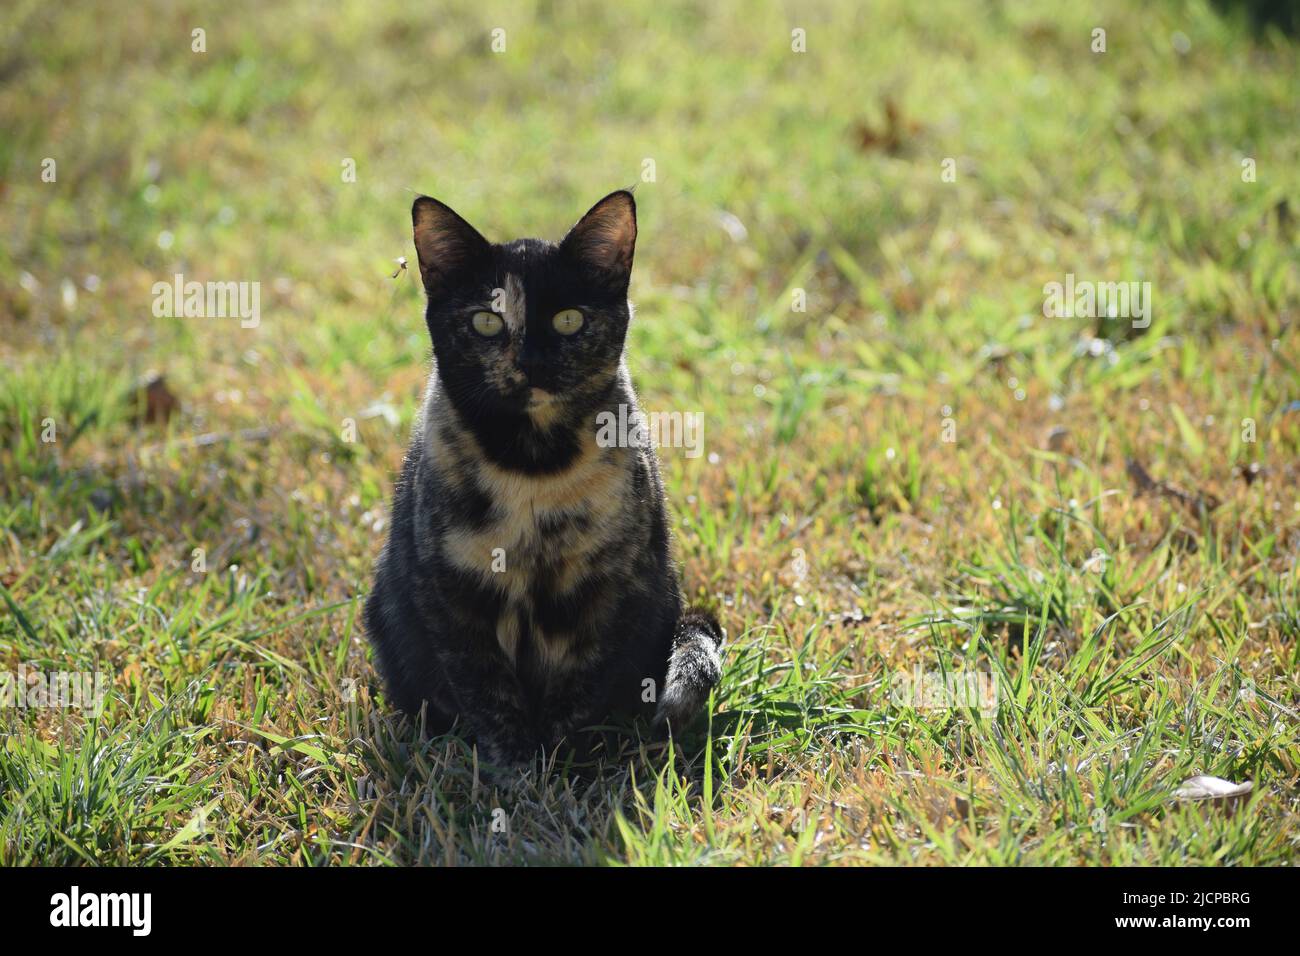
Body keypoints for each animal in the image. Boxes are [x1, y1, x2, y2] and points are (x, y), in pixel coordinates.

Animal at [366, 191, 728, 764]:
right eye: (486, 322)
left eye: (568, 320)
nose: (531, 361)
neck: (533, 463)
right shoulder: (451, 593)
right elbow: (486, 689)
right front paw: (516, 766)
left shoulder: (610, 589)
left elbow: (581, 683)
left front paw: (560, 759)